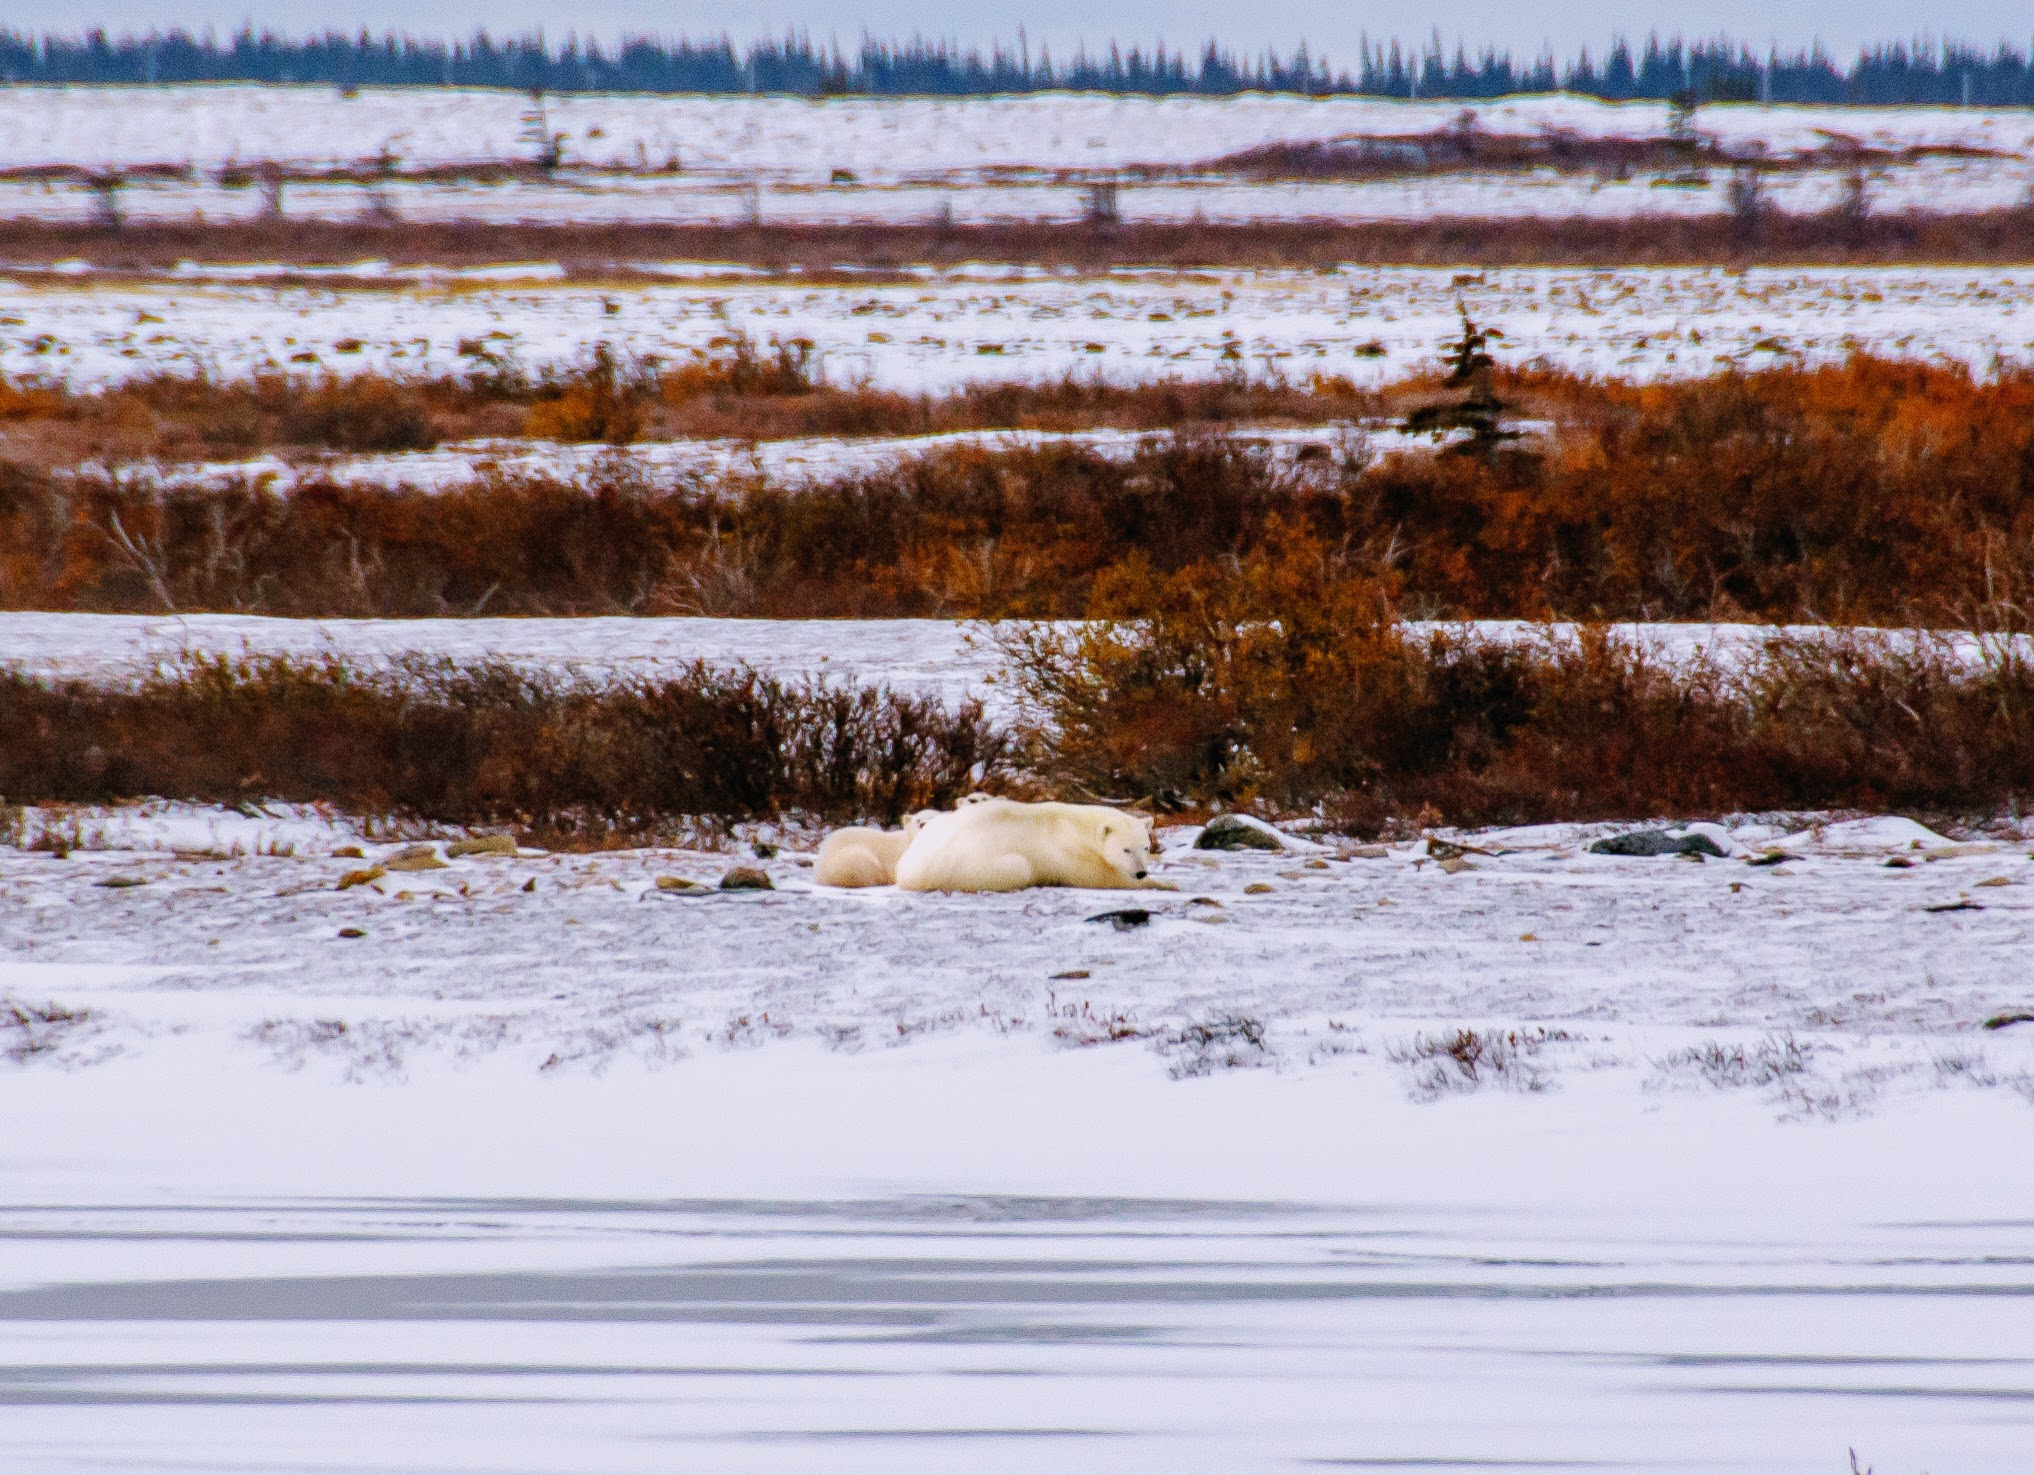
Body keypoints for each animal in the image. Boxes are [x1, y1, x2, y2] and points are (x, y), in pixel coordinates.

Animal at [894, 797, 1167, 893]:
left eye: (1145, 847)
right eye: (1125, 849)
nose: (1141, 872)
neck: (1077, 826)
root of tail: (909, 872)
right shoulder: (1068, 852)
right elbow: (1100, 878)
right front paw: (1166, 883)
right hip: (967, 867)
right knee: (1019, 866)